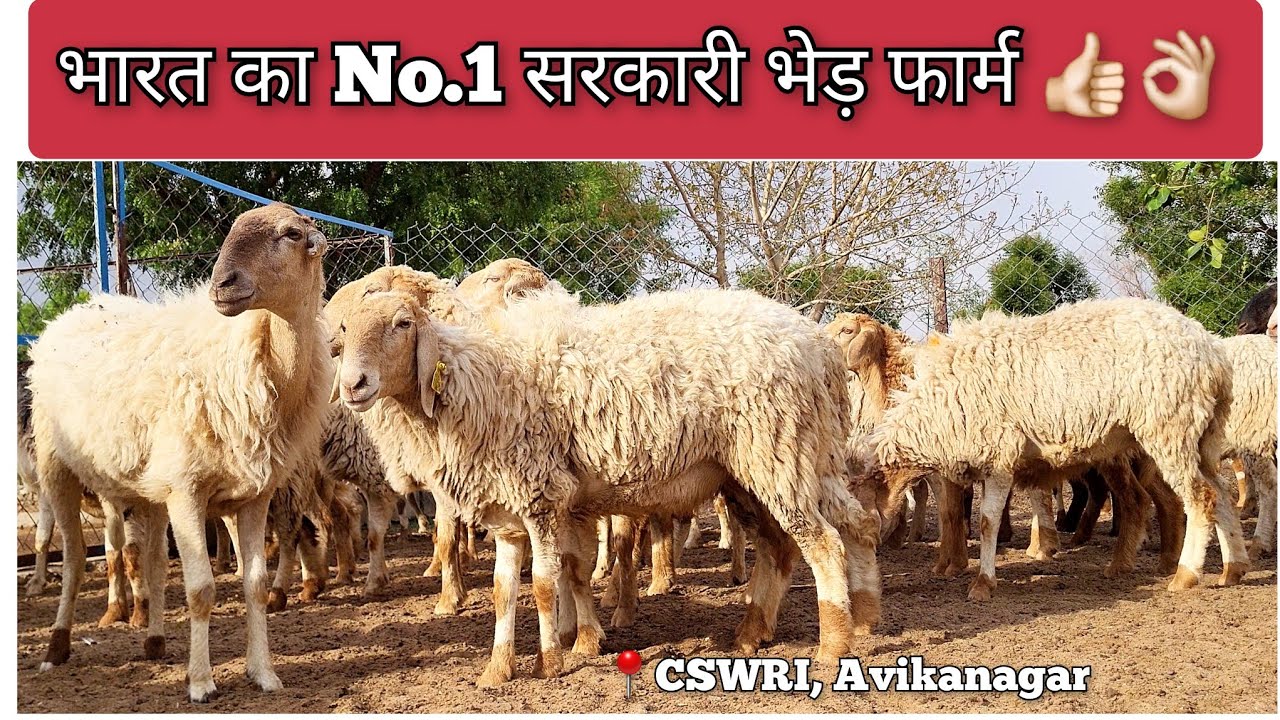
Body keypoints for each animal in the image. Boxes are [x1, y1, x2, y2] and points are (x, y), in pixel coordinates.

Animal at [28, 203, 332, 702]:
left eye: (290, 233)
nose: (222, 284)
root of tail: (74, 312)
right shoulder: (188, 492)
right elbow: (201, 590)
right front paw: (202, 683)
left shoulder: (253, 496)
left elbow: (254, 584)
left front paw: (264, 674)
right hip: (58, 467)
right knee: (73, 560)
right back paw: (57, 647)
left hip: (148, 488)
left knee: (151, 562)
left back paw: (154, 641)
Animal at [328, 280, 878, 685]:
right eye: (344, 330)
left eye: (402, 324)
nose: (355, 384)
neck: (475, 381)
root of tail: (819, 347)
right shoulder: (514, 508)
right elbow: (519, 587)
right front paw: (508, 666)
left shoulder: (540, 493)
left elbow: (545, 584)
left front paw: (552, 660)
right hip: (787, 462)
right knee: (825, 534)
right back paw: (808, 625)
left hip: (777, 452)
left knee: (822, 543)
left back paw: (831, 647)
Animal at [864, 298, 1249, 601]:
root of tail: (1213, 352)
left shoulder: (999, 454)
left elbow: (988, 522)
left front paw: (983, 583)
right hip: (1202, 435)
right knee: (1220, 495)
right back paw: (1232, 569)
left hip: (1171, 426)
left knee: (1201, 497)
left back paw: (1185, 575)